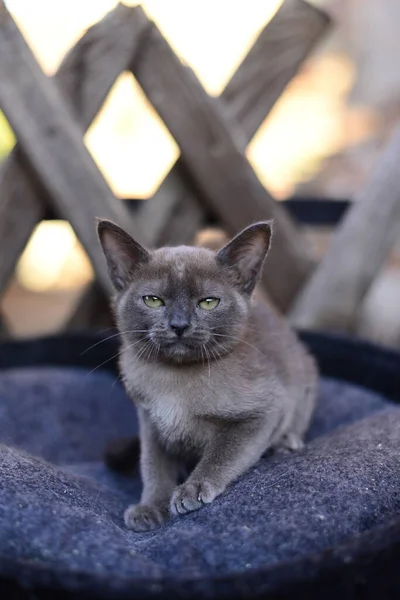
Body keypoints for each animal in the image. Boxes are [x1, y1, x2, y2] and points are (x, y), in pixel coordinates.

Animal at [97, 219, 318, 528]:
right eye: (153, 300)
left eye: (208, 302)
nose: (179, 325)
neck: (174, 381)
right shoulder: (150, 423)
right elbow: (154, 467)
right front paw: (150, 507)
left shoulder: (264, 410)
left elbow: (222, 454)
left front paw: (193, 489)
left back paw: (285, 444)